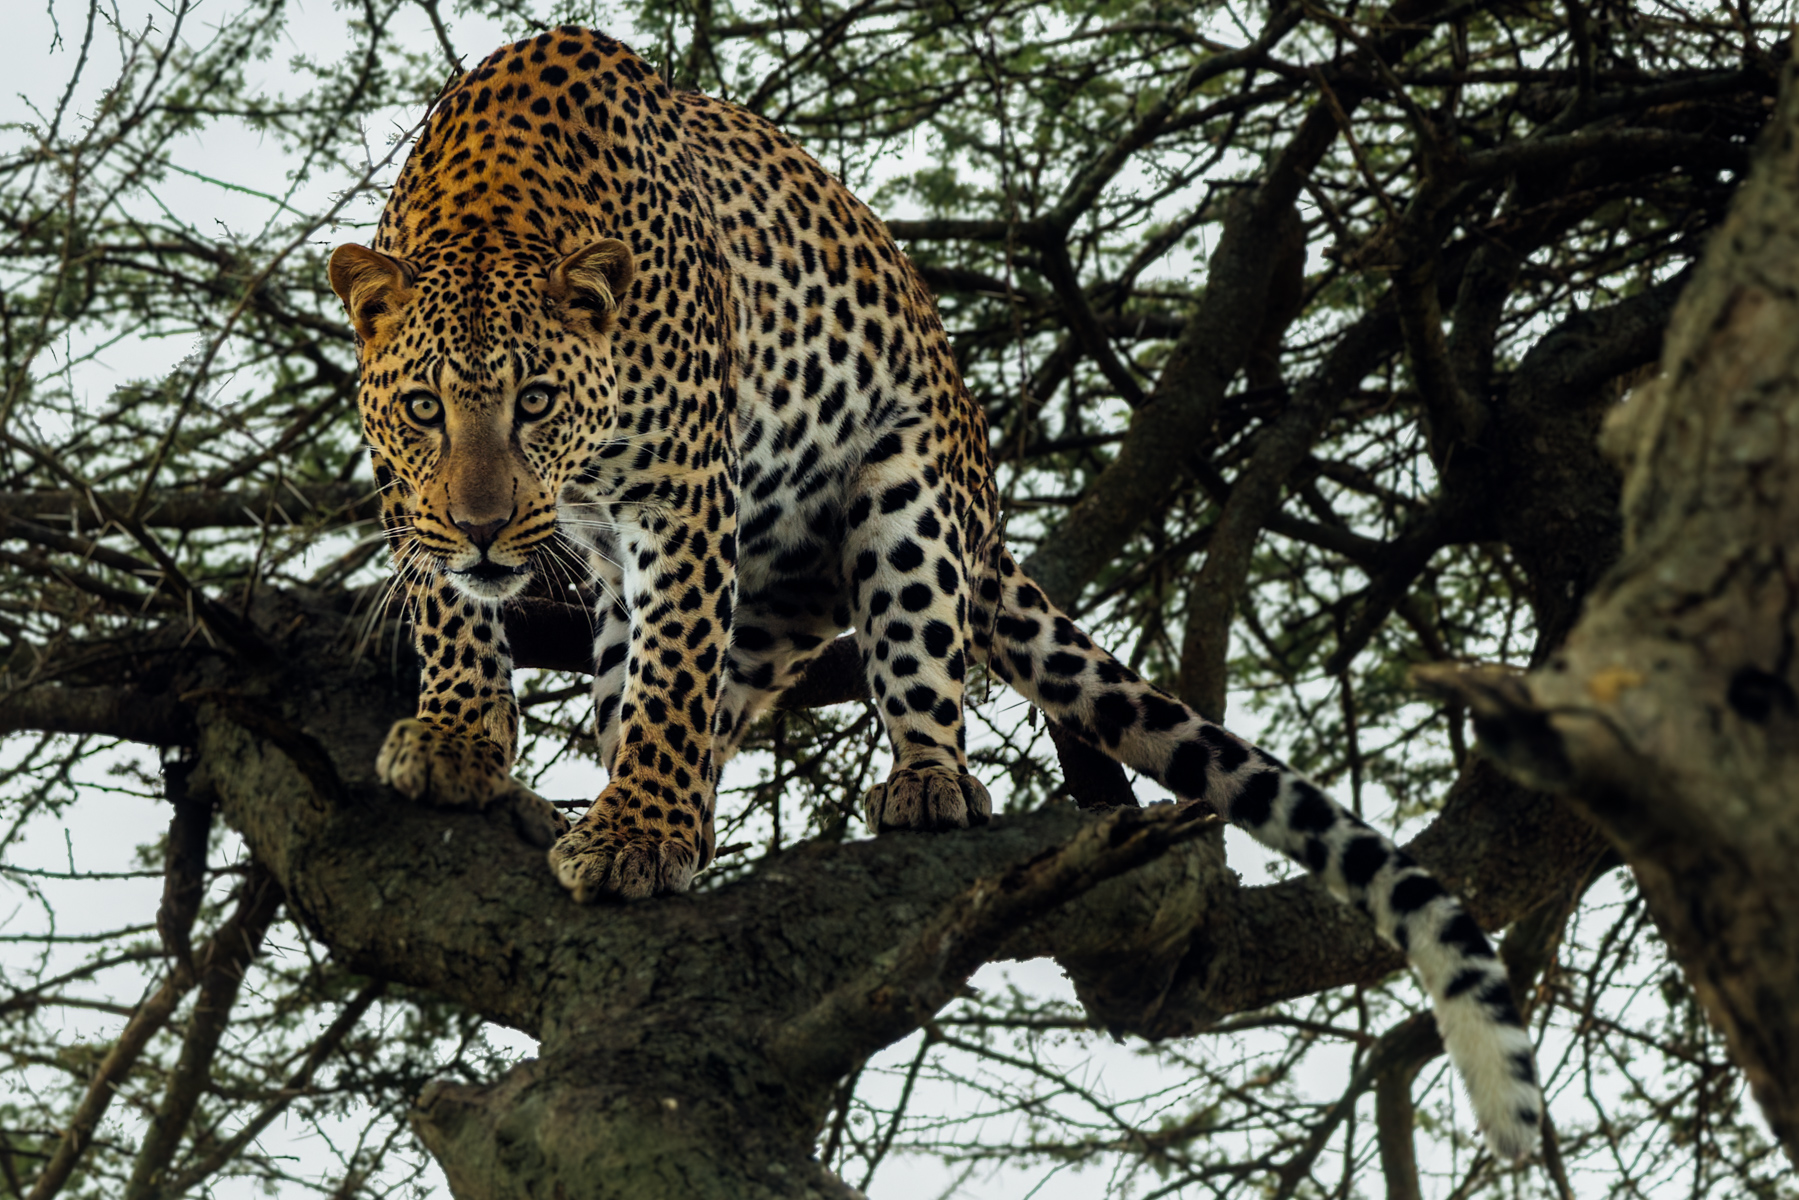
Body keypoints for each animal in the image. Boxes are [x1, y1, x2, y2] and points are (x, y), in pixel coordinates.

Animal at [326, 27, 1542, 1160]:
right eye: (426, 409)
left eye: (534, 401)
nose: (485, 525)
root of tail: (981, 494)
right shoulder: (407, 483)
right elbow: (455, 607)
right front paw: (458, 738)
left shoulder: (685, 495)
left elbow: (674, 675)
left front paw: (634, 837)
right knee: (683, 690)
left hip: (902, 501)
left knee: (901, 673)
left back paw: (914, 786)